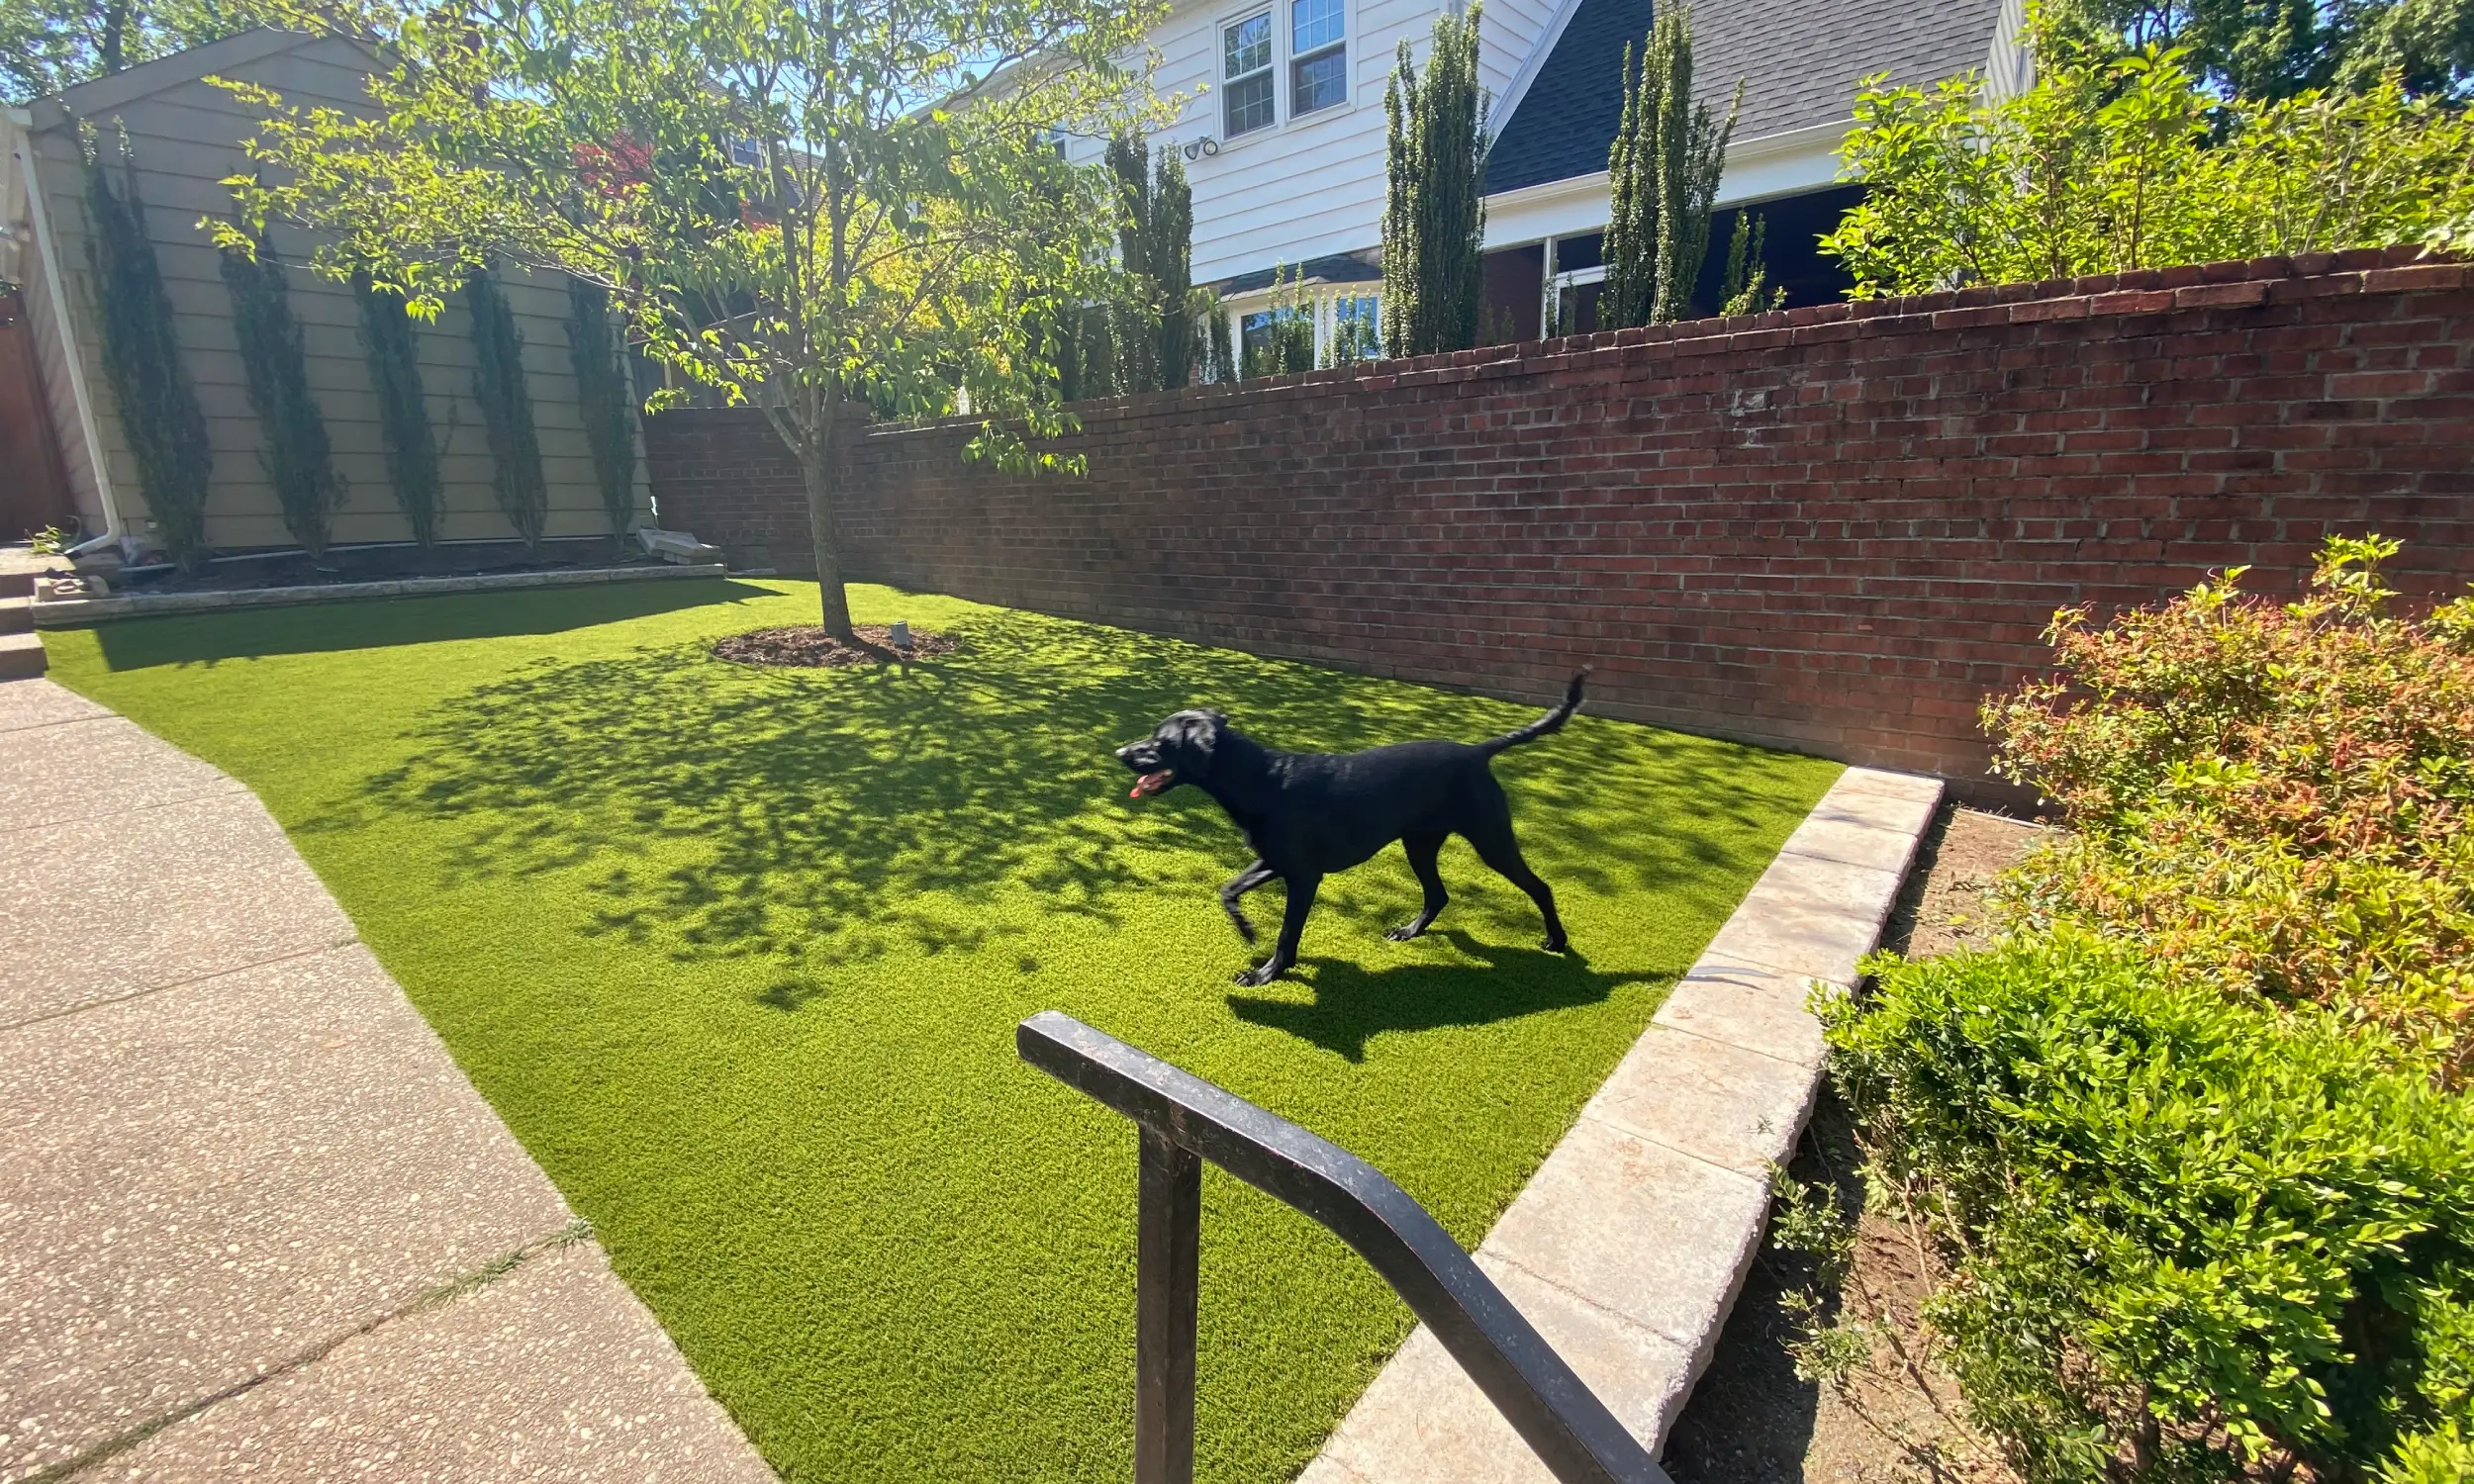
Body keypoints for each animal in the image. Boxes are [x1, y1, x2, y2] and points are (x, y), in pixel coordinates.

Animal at [1118, 673, 1583, 984]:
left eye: (1159, 742)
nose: (1121, 751)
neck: (1263, 780)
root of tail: (1477, 752)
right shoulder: (1275, 860)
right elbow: (1228, 888)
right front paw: (1247, 931)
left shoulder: (1304, 877)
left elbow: (1287, 934)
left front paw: (1266, 973)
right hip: (1419, 843)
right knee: (1438, 894)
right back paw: (1410, 931)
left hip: (1491, 840)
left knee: (1540, 887)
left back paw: (1557, 940)